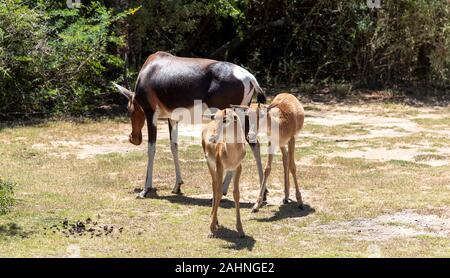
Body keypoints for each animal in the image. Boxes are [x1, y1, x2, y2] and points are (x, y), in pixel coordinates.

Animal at [112, 51, 266, 199]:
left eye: (129, 109)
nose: (134, 138)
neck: (151, 69)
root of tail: (250, 78)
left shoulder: (151, 115)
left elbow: (151, 149)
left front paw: (145, 190)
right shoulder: (172, 118)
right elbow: (174, 146)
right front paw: (177, 186)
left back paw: (224, 191)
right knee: (253, 143)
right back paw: (260, 194)